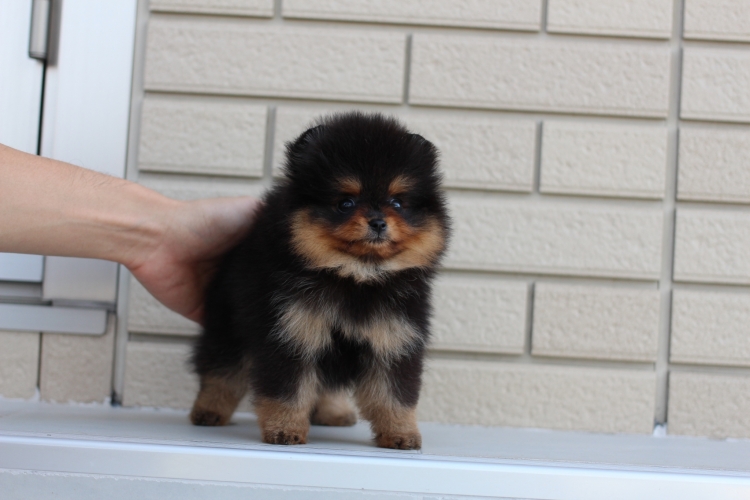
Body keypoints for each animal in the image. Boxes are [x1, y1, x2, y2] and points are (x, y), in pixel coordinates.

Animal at [189, 112, 450, 450]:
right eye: (346, 203)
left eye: (397, 202)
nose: (378, 222)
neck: (355, 277)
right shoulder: (291, 332)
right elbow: (287, 390)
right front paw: (284, 430)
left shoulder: (394, 338)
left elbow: (394, 395)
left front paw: (401, 434)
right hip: (227, 323)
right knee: (222, 369)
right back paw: (208, 410)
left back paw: (333, 412)